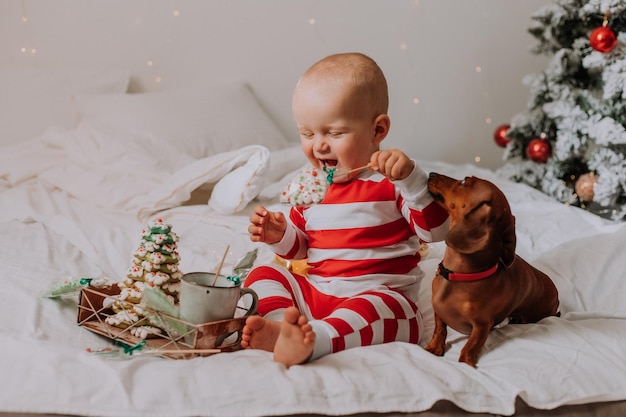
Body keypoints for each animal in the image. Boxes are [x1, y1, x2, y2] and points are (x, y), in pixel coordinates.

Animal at [422, 174, 560, 366]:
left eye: (464, 181)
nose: (431, 174)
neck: (461, 276)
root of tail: (556, 294)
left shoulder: (482, 325)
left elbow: (469, 348)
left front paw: (466, 363)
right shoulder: (438, 311)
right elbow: (440, 328)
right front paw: (434, 348)